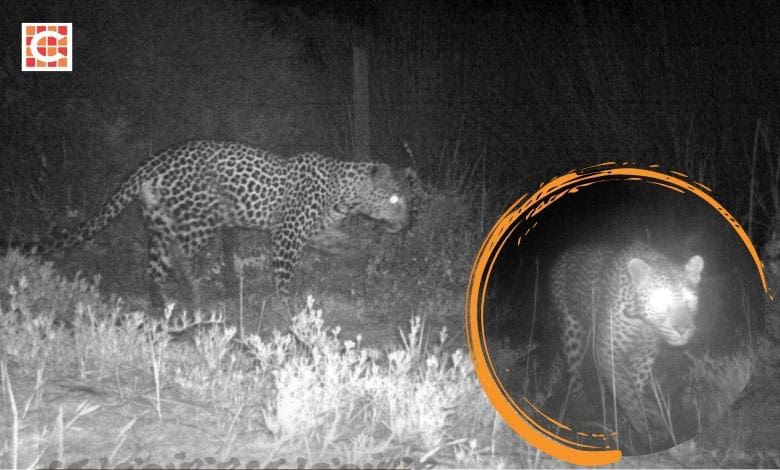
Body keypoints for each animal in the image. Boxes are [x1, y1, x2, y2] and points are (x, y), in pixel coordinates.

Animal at [19, 140, 419, 308]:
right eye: (394, 199)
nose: (409, 224)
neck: (344, 193)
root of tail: (153, 161)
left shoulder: (318, 230)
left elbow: (343, 244)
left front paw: (366, 260)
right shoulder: (287, 233)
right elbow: (284, 272)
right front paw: (286, 303)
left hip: (160, 221)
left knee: (154, 264)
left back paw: (166, 300)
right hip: (198, 222)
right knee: (172, 259)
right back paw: (190, 293)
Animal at [550, 241, 704, 450]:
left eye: (690, 301)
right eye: (660, 300)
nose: (683, 329)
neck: (642, 323)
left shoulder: (643, 358)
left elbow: (635, 390)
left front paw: (630, 422)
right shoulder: (608, 353)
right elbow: (626, 392)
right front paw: (643, 430)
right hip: (570, 326)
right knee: (573, 368)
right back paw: (581, 406)